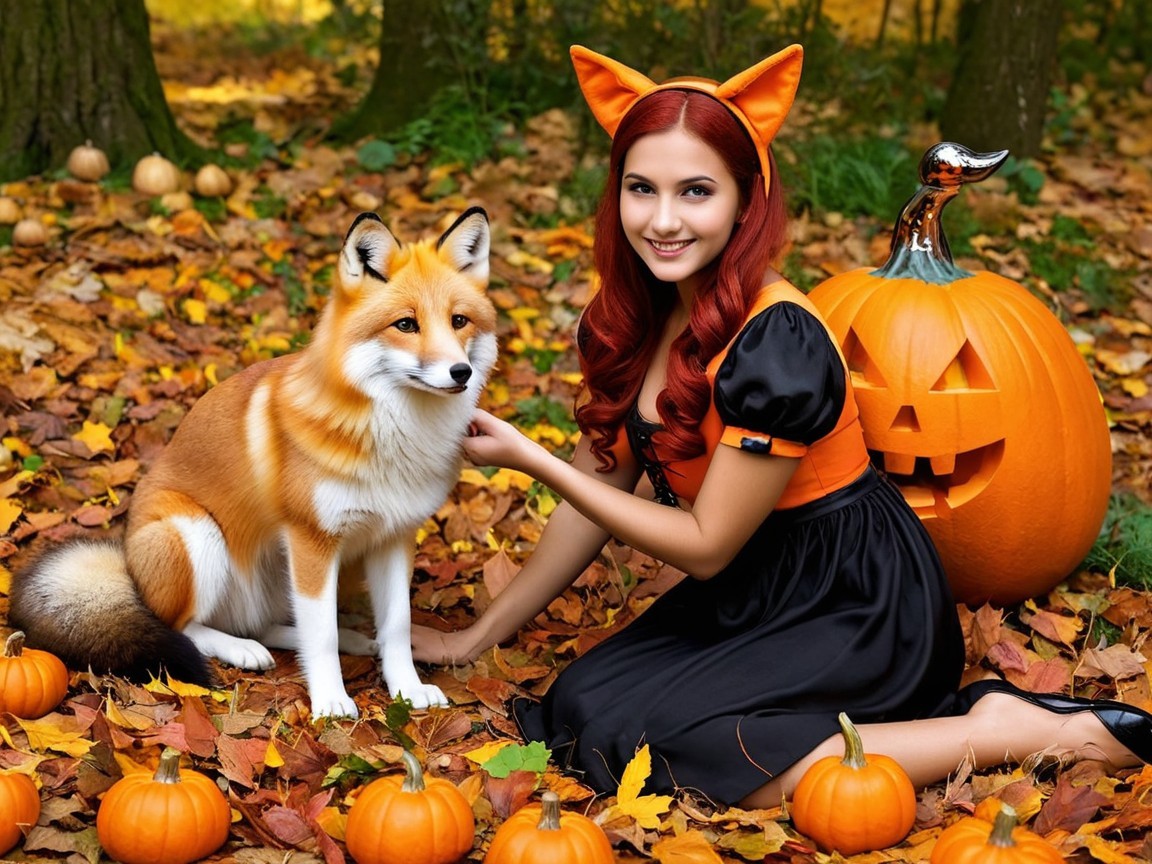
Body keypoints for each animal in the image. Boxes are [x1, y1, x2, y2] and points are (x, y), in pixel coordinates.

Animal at [9, 208, 498, 718]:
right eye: (406, 324)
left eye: (459, 321)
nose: (460, 372)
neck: (390, 439)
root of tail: (124, 558)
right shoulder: (312, 540)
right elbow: (320, 638)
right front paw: (330, 701)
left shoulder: (394, 536)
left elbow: (396, 628)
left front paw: (407, 688)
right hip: (199, 536)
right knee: (184, 626)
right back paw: (239, 649)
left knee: (271, 625)